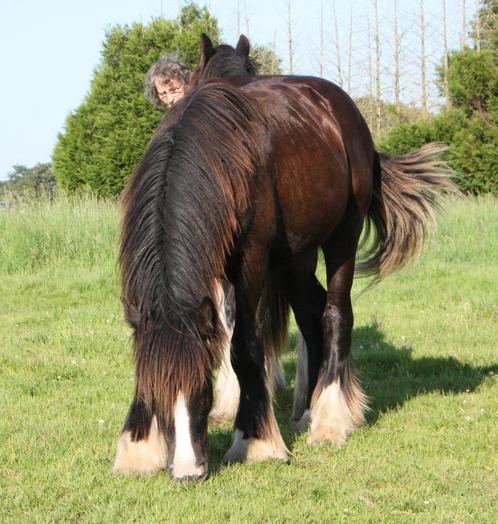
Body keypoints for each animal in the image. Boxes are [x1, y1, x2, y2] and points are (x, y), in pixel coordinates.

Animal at [114, 34, 456, 482]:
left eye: (202, 387)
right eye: (158, 392)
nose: (189, 470)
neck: (215, 155)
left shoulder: (250, 262)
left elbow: (243, 346)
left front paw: (254, 440)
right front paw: (138, 446)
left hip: (341, 238)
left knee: (336, 314)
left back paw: (331, 419)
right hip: (296, 257)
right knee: (312, 314)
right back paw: (309, 409)